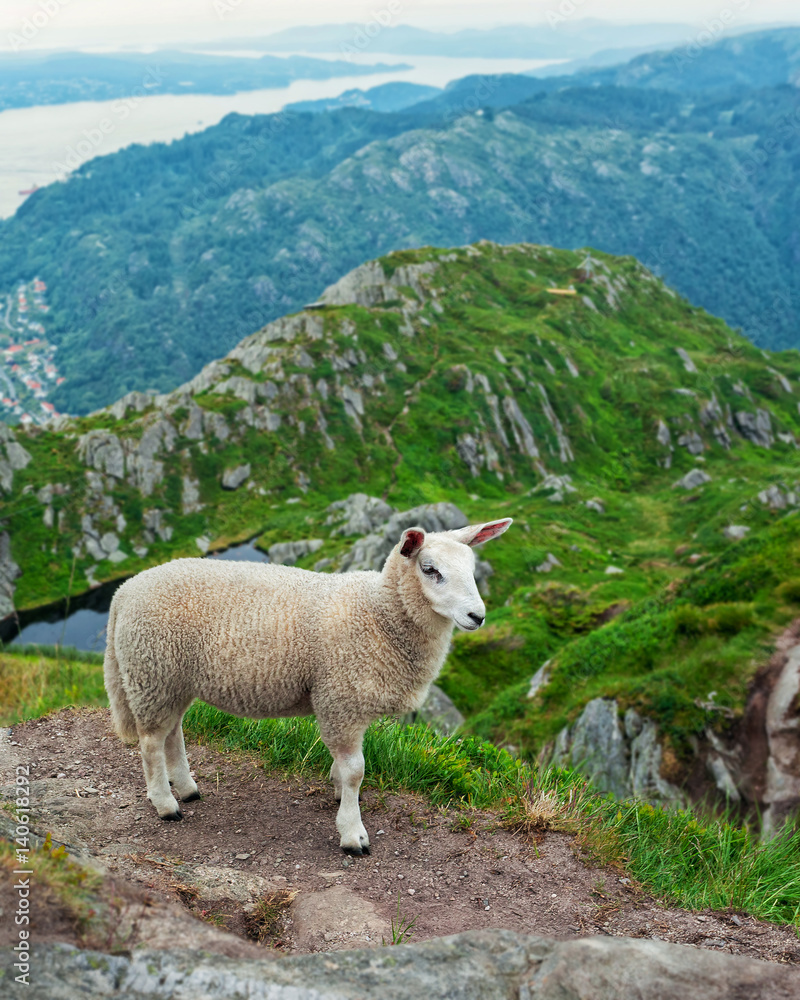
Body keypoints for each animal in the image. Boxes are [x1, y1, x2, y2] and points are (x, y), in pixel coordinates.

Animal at [103, 517, 512, 854]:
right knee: (151, 742)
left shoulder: (346, 701)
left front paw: (337, 792)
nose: (477, 616)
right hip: (151, 671)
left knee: (173, 732)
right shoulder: (340, 698)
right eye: (430, 570)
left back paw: (187, 788)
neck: (378, 613)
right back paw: (165, 803)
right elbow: (356, 770)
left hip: (172, 679)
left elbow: (345, 768)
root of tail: (124, 590)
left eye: (473, 569)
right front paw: (352, 833)